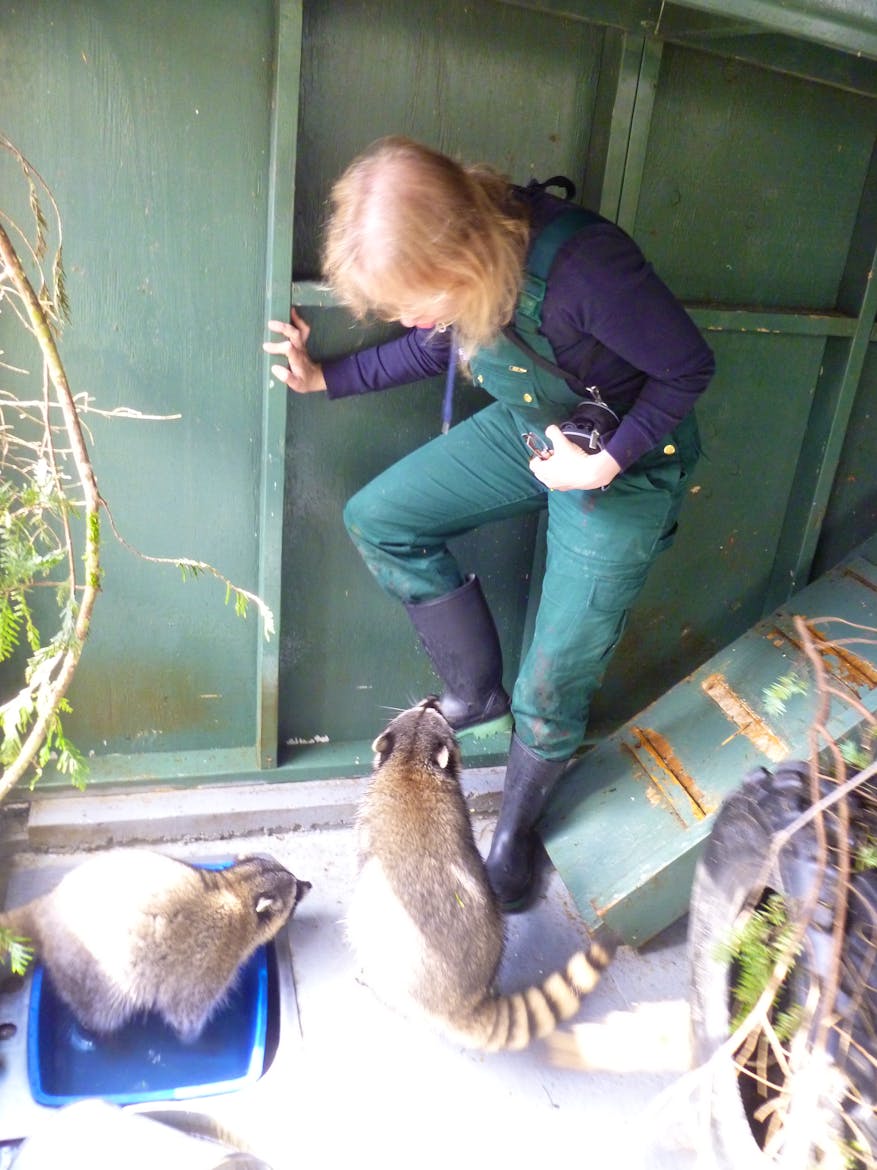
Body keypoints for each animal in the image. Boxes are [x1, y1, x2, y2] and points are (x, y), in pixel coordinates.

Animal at [0, 851, 313, 1043]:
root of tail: (46, 908)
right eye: (296, 892)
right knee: (103, 1012)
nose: (308, 883)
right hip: (90, 974)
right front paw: (196, 1038)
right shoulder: (209, 957)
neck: (235, 888)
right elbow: (185, 1012)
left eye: (294, 878)